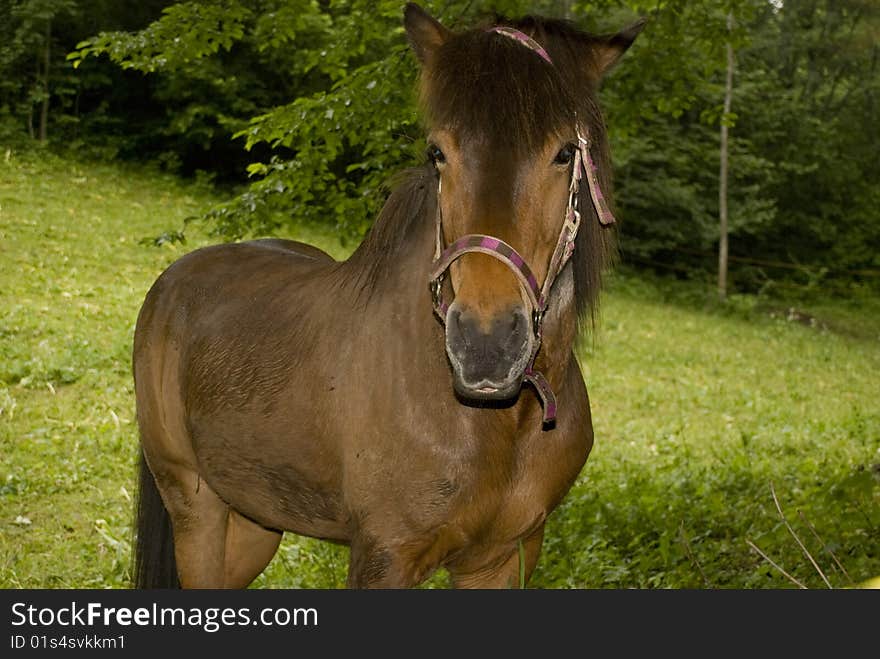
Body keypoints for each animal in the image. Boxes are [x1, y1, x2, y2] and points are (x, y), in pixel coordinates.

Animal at [134, 0, 648, 588]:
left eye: (564, 153)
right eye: (438, 152)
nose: (486, 344)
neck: (500, 424)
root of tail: (176, 278)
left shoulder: (507, 558)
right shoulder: (385, 555)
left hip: (254, 520)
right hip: (195, 505)